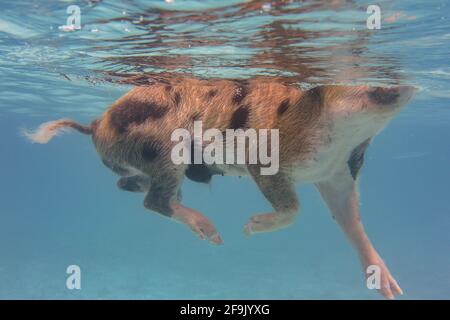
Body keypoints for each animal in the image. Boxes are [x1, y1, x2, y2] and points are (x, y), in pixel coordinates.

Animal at [25, 76, 414, 298]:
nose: (407, 86)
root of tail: (94, 124)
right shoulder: (267, 157)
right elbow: (293, 208)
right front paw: (247, 229)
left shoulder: (338, 172)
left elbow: (348, 217)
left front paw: (392, 289)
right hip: (165, 146)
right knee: (155, 201)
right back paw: (210, 233)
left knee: (132, 185)